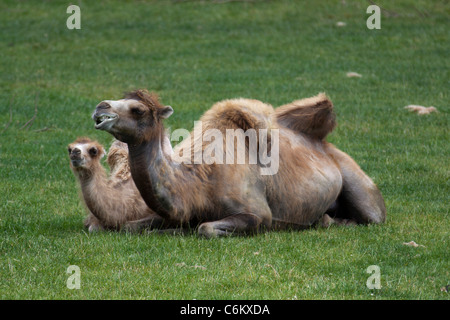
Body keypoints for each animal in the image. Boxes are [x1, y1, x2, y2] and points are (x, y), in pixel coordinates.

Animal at [92, 89, 386, 236]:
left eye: (137, 109)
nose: (100, 106)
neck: (198, 182)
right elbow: (131, 226)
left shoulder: (258, 213)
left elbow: (205, 228)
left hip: (359, 185)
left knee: (371, 218)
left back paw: (328, 221)